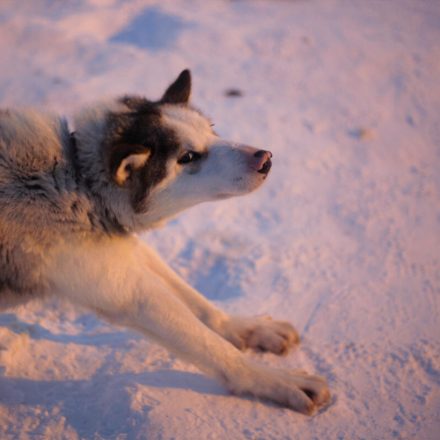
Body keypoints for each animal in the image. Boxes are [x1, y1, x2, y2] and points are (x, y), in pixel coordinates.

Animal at [0, 70, 330, 414]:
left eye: (211, 129)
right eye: (187, 157)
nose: (265, 159)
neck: (81, 181)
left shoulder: (123, 254)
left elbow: (199, 304)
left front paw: (245, 327)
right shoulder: (128, 291)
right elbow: (213, 348)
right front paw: (278, 380)